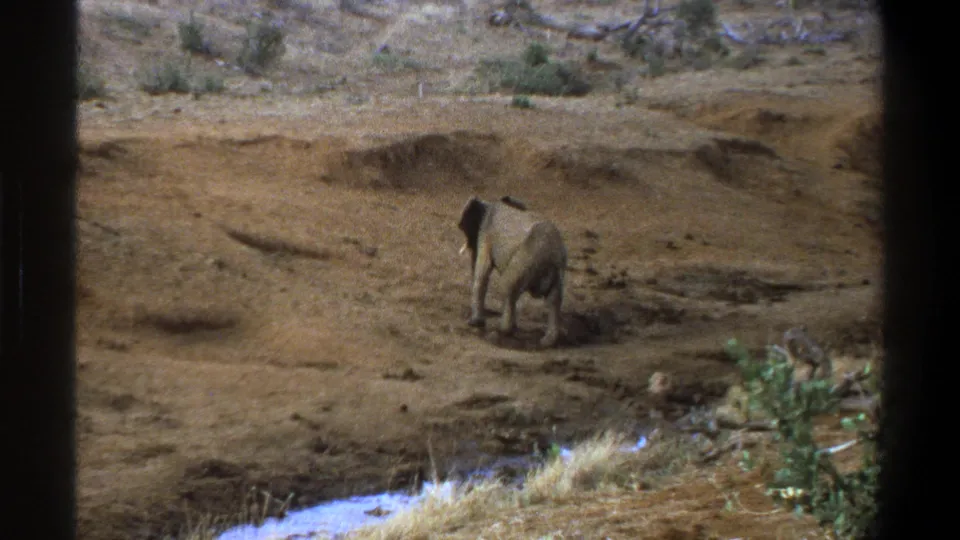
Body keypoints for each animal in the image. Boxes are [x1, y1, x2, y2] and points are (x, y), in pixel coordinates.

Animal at [457, 195, 568, 348]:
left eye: (463, 226)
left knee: (508, 287)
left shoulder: (486, 235)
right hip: (556, 270)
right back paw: (547, 342)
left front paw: (474, 323)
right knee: (554, 299)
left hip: (525, 259)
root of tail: (552, 254)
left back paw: (504, 330)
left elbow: (482, 273)